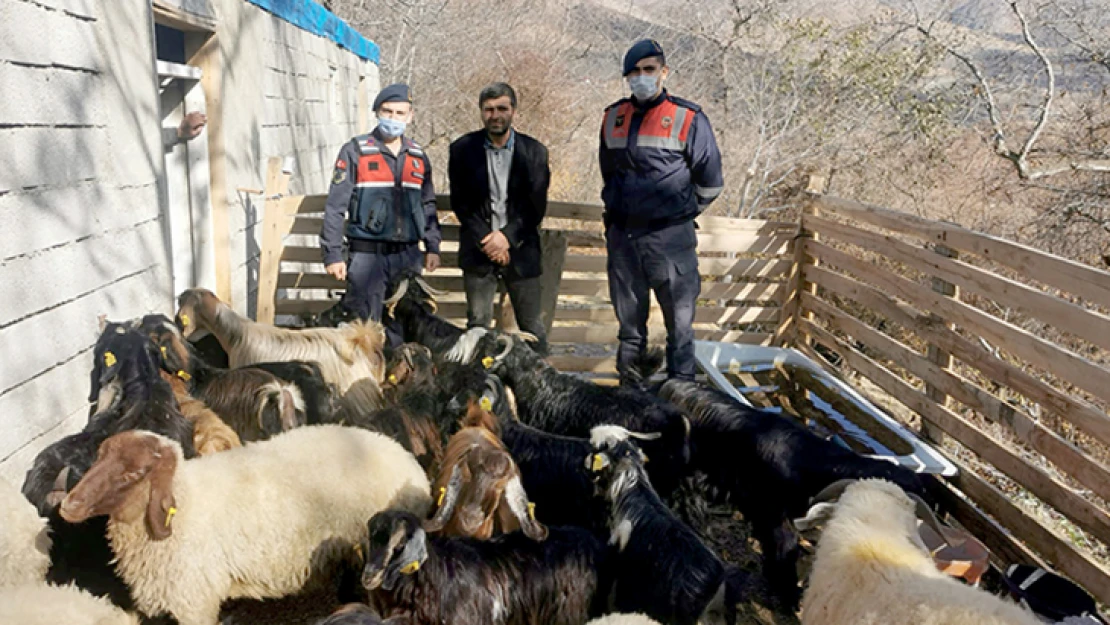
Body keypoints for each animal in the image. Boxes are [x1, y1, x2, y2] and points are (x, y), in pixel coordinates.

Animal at [58, 424, 432, 621]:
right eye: (99, 457)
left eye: (132, 474)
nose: (68, 505)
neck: (185, 501)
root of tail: (410, 465)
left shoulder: (195, 602)